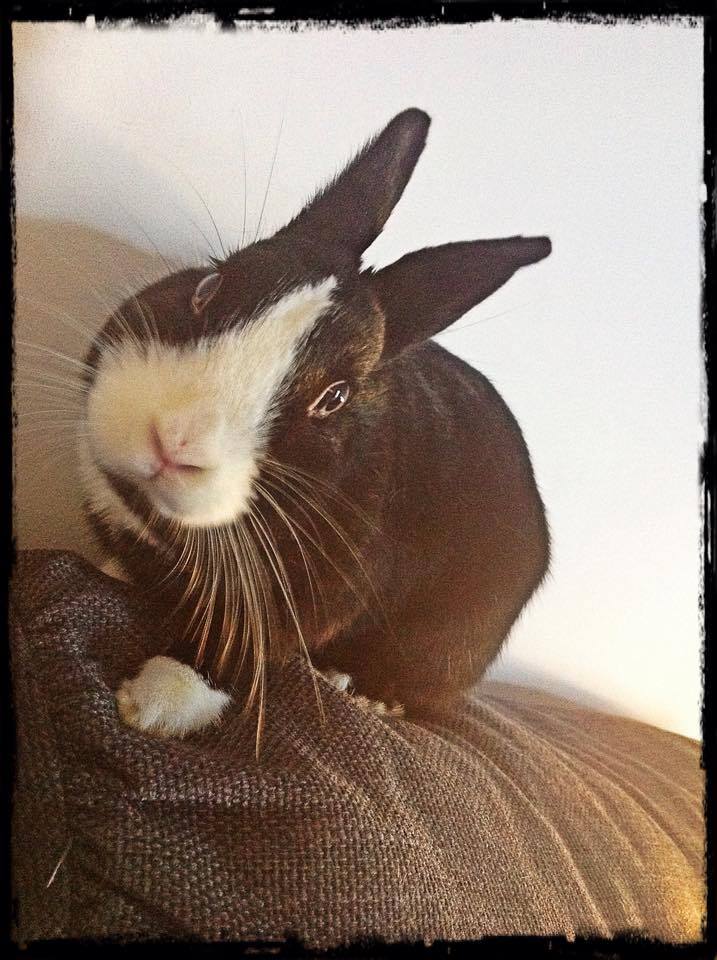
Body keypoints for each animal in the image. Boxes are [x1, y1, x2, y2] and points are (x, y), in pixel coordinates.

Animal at [79, 108, 551, 742]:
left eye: (335, 397)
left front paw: (154, 705)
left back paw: (362, 693)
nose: (171, 439)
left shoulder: (305, 597)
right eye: (207, 287)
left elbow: (242, 647)